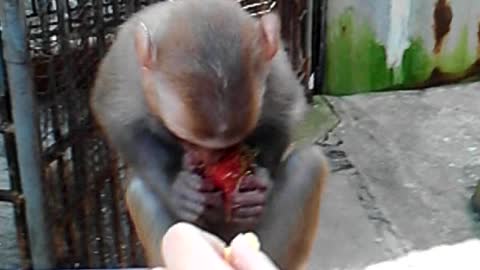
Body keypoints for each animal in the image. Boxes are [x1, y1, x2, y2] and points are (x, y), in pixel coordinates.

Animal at [90, 1, 328, 268]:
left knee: (308, 164)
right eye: (186, 140)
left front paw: (257, 188)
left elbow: (285, 113)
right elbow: (119, 123)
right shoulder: (125, 68)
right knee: (140, 191)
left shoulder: (274, 67)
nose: (214, 161)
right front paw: (178, 189)